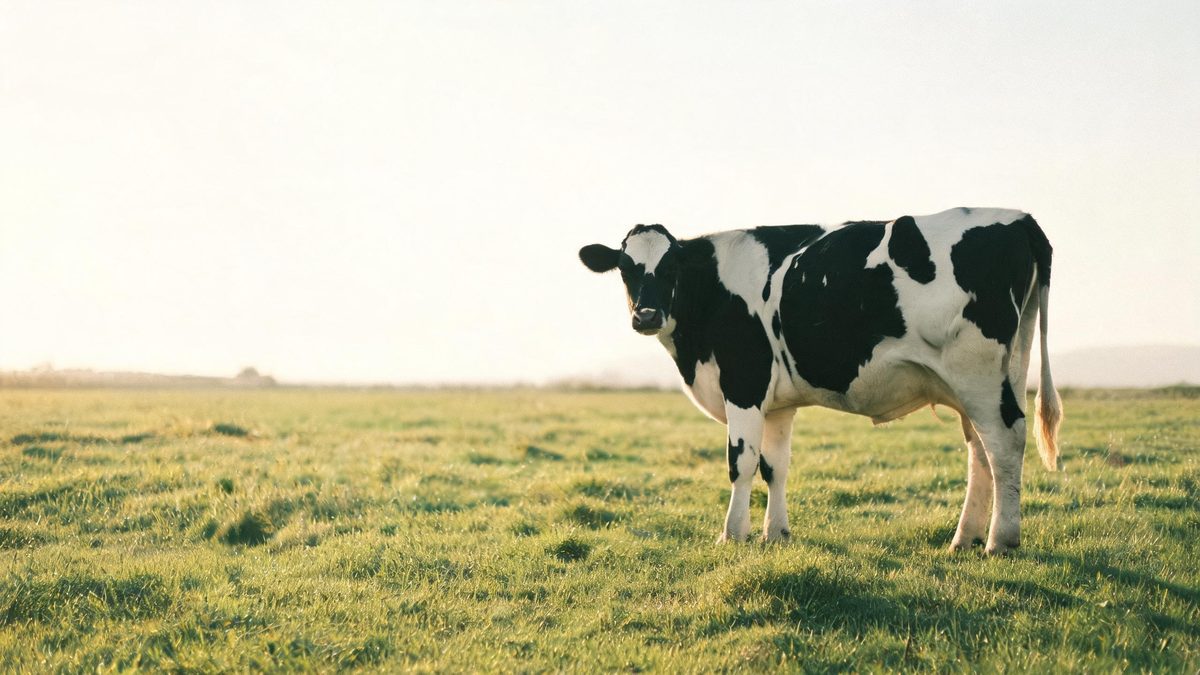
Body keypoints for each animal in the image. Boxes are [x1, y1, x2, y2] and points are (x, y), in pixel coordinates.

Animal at [579, 207, 1062, 555]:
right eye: (625, 268)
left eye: (671, 268)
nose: (646, 315)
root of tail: (1019, 219)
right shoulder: (777, 404)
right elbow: (776, 466)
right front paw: (775, 534)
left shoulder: (744, 382)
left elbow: (741, 463)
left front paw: (732, 535)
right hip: (996, 374)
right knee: (981, 451)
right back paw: (965, 538)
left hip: (978, 375)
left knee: (1004, 443)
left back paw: (1001, 541)